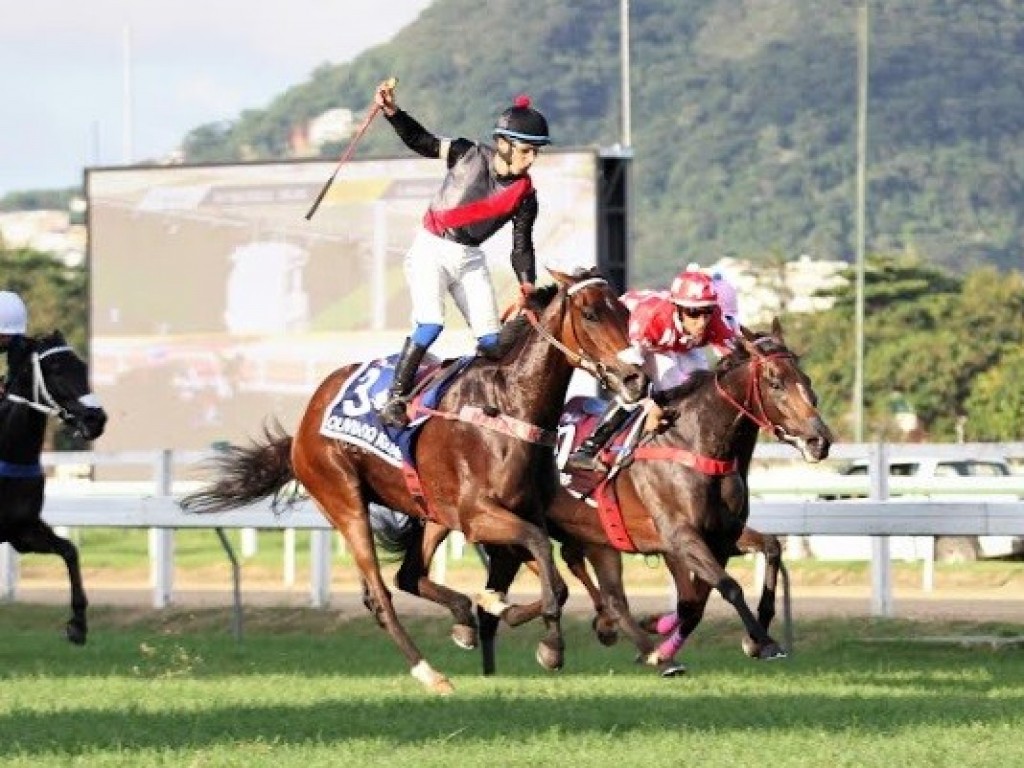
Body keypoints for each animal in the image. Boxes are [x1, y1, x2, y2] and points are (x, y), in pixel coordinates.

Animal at [0, 331, 108, 643]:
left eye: (83, 367)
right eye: (56, 369)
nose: (97, 419)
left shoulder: (22, 529)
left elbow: (70, 550)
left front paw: (78, 624)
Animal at [180, 268, 643, 696]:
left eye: (625, 312)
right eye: (590, 313)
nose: (636, 377)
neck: (508, 405)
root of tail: (304, 423)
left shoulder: (518, 512)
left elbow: (553, 578)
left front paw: (504, 610)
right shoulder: (477, 517)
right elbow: (543, 553)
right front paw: (550, 644)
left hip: (432, 513)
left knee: (408, 575)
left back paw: (462, 618)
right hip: (344, 500)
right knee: (381, 595)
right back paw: (429, 672)